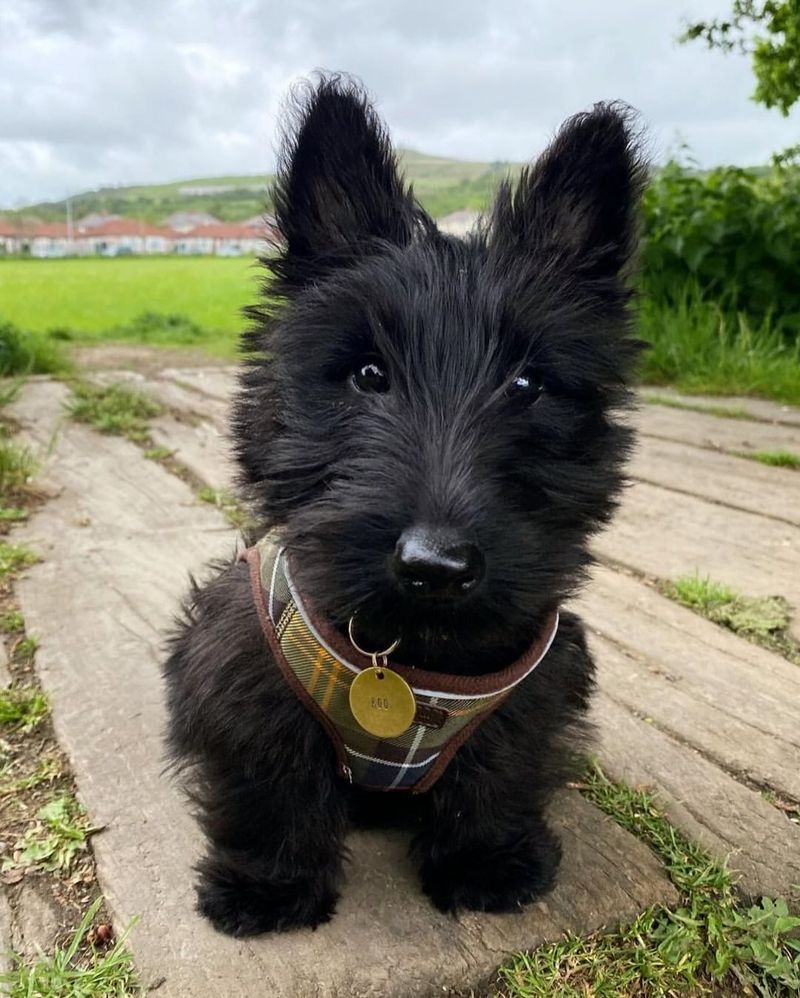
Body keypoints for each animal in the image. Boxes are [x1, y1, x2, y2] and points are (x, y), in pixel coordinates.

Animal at [166, 76, 648, 936]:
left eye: (528, 384)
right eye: (367, 374)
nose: (436, 565)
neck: (411, 656)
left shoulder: (535, 688)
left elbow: (497, 774)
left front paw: (485, 863)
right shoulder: (244, 677)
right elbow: (270, 780)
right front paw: (270, 886)